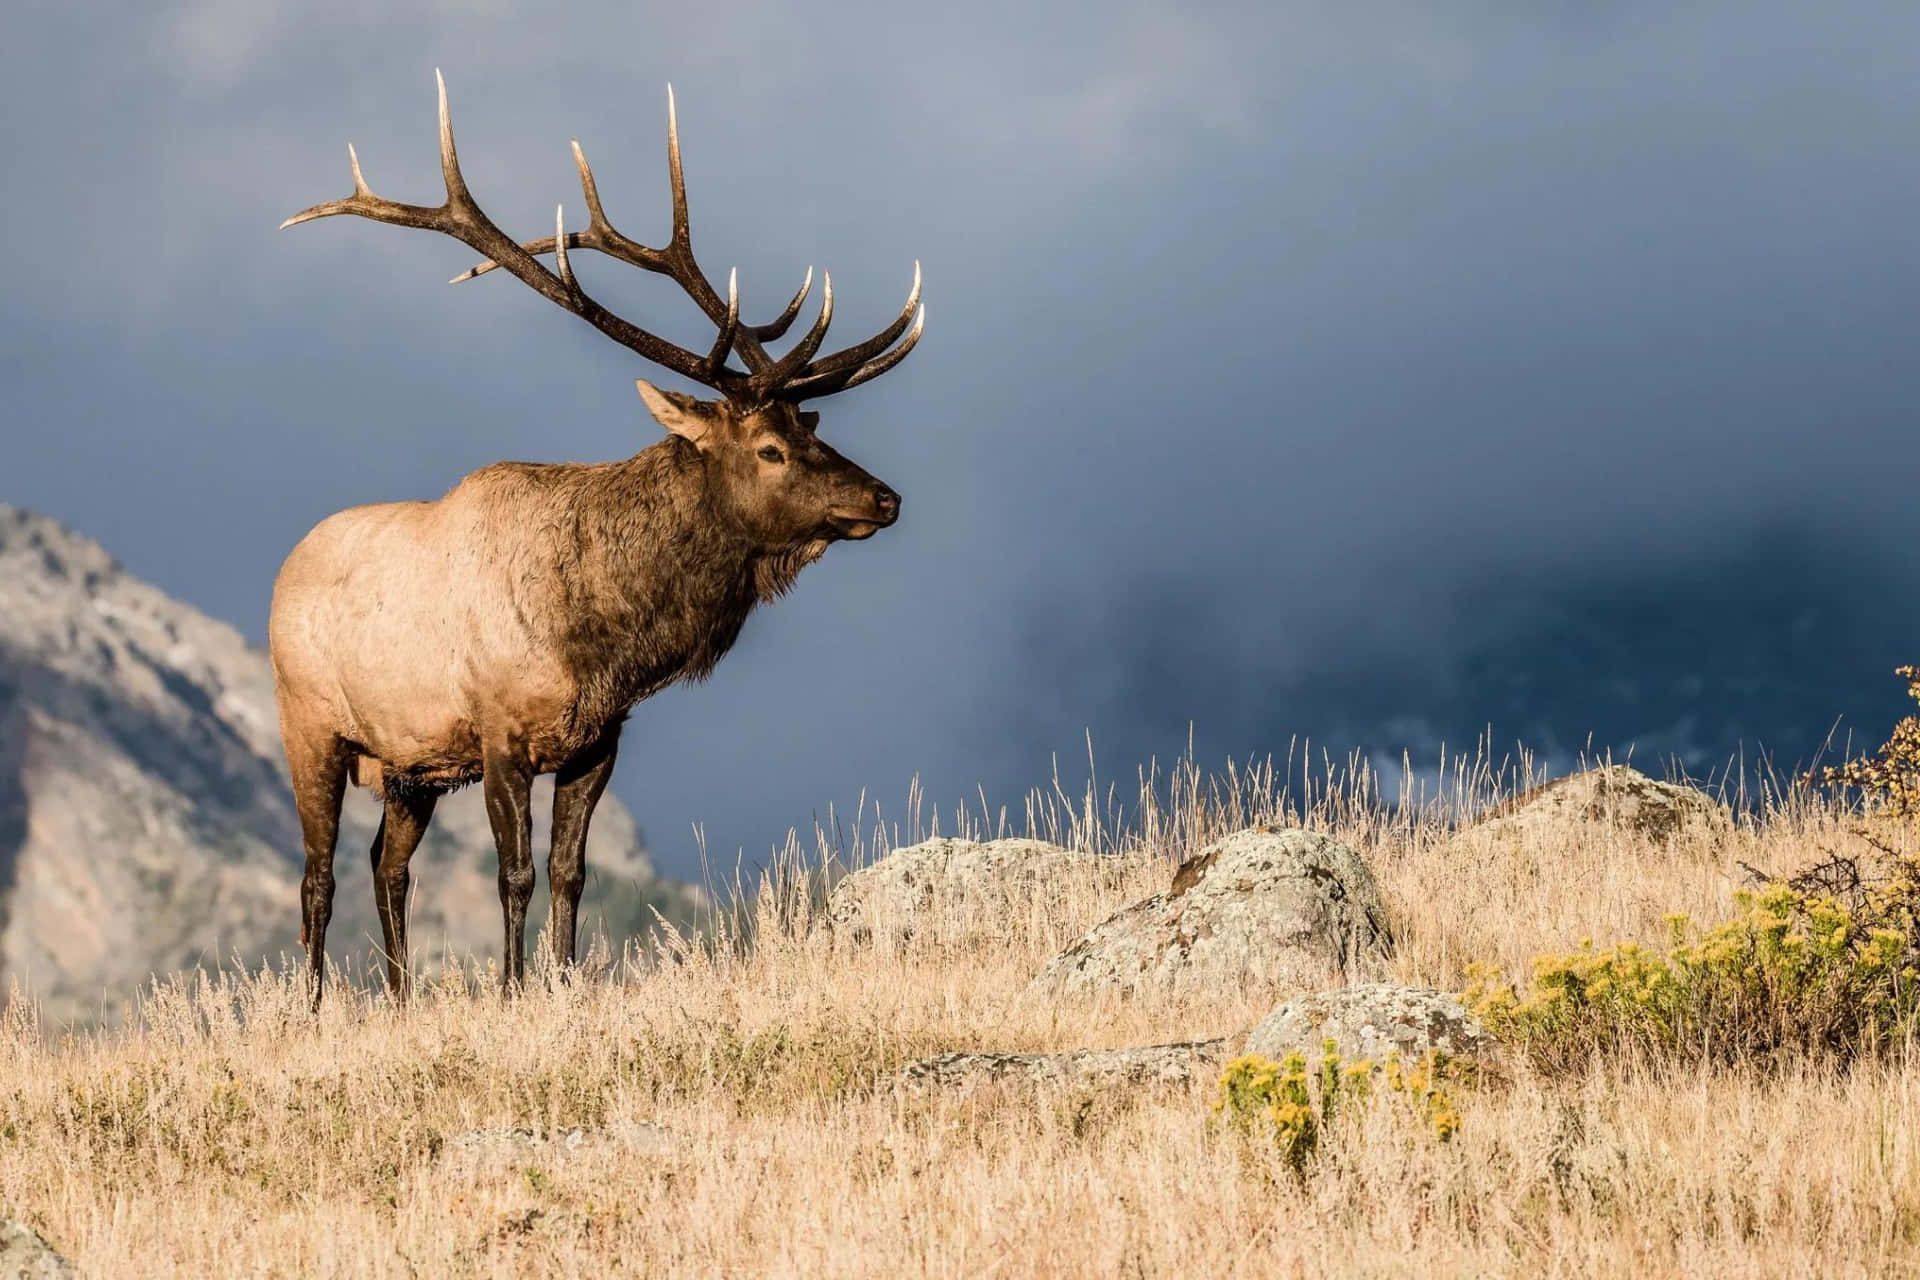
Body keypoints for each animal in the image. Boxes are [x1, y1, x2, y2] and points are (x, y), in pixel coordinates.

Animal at [270, 72, 921, 1013]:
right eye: (769, 448)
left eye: (813, 427)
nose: (885, 497)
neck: (601, 635)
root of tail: (285, 568)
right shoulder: (499, 732)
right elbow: (513, 874)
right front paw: (512, 992)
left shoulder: (597, 740)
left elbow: (571, 873)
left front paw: (563, 982)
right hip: (311, 726)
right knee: (316, 875)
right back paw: (316, 1008)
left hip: (408, 764)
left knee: (385, 866)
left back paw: (398, 1000)